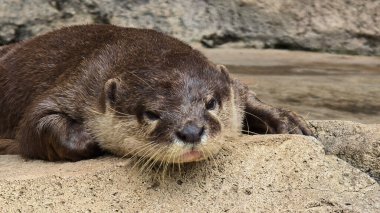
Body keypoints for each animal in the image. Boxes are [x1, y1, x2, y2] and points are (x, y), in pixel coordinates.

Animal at [0, 24, 312, 161]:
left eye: (211, 103)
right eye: (151, 113)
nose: (190, 132)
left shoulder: (231, 85)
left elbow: (247, 96)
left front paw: (289, 121)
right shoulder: (77, 82)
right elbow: (34, 125)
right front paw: (91, 137)